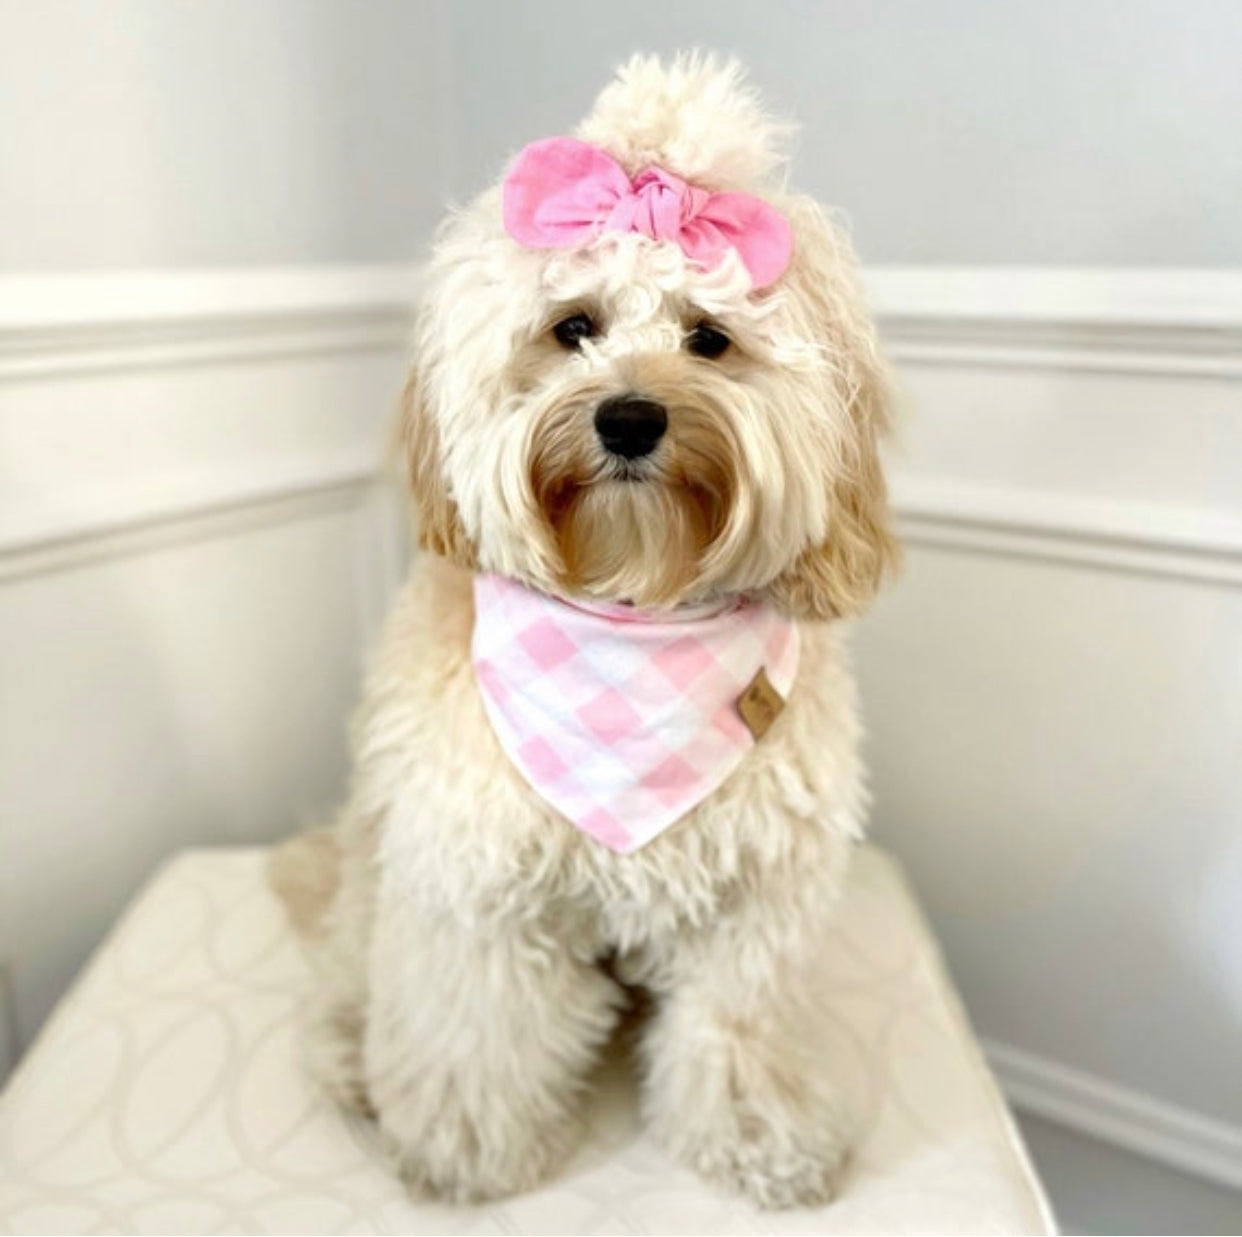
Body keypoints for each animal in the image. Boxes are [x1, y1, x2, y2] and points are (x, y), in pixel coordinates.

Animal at [271, 50, 899, 1207]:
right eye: (573, 327)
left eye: (709, 337)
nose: (630, 417)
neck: (631, 606)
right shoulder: (474, 883)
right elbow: (476, 1031)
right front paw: (466, 1148)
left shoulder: (756, 899)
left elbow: (737, 1029)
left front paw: (759, 1135)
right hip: (373, 868)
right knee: (350, 964)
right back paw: (352, 1056)